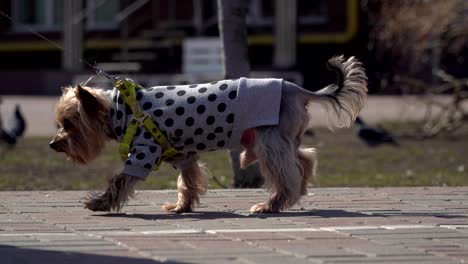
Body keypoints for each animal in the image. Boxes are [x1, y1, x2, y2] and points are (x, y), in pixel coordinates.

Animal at [49, 55, 368, 212]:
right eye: (61, 125)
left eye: (69, 124)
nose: (54, 144)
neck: (121, 110)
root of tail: (297, 89)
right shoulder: (183, 155)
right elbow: (189, 180)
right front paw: (182, 207)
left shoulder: (144, 151)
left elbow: (121, 179)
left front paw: (99, 203)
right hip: (283, 137)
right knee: (304, 159)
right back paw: (297, 191)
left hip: (269, 139)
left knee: (284, 172)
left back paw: (271, 205)